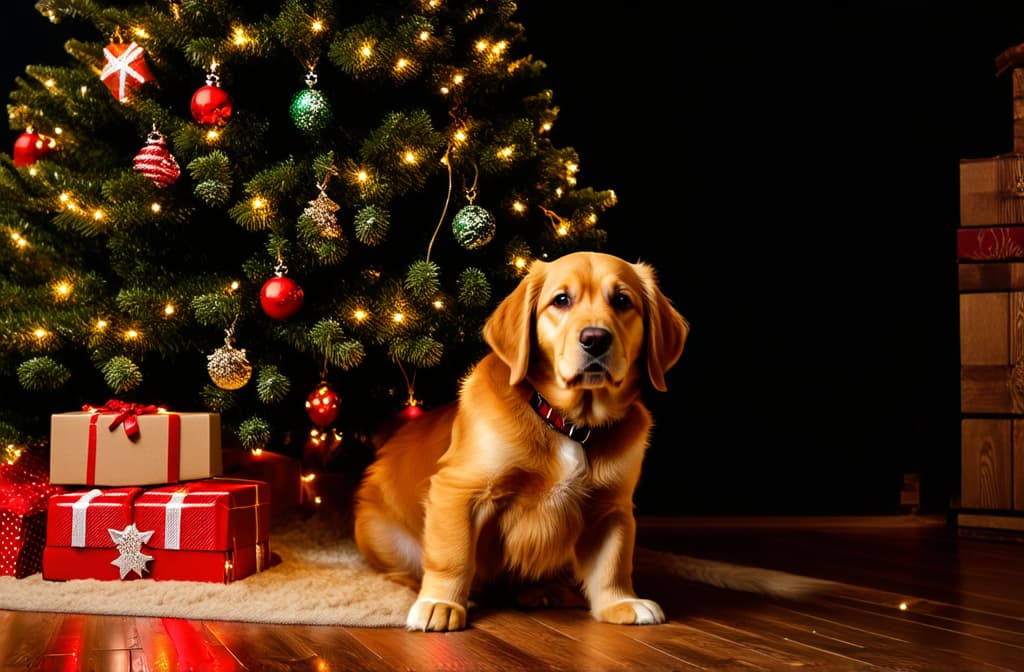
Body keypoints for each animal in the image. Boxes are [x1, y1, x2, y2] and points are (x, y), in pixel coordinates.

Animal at [352, 250, 688, 631]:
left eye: (621, 301)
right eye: (561, 300)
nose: (595, 339)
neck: (569, 423)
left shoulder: (612, 507)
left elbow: (613, 563)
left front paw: (620, 603)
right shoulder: (459, 488)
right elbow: (452, 555)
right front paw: (440, 602)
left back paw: (545, 589)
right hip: (380, 533)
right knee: (402, 569)